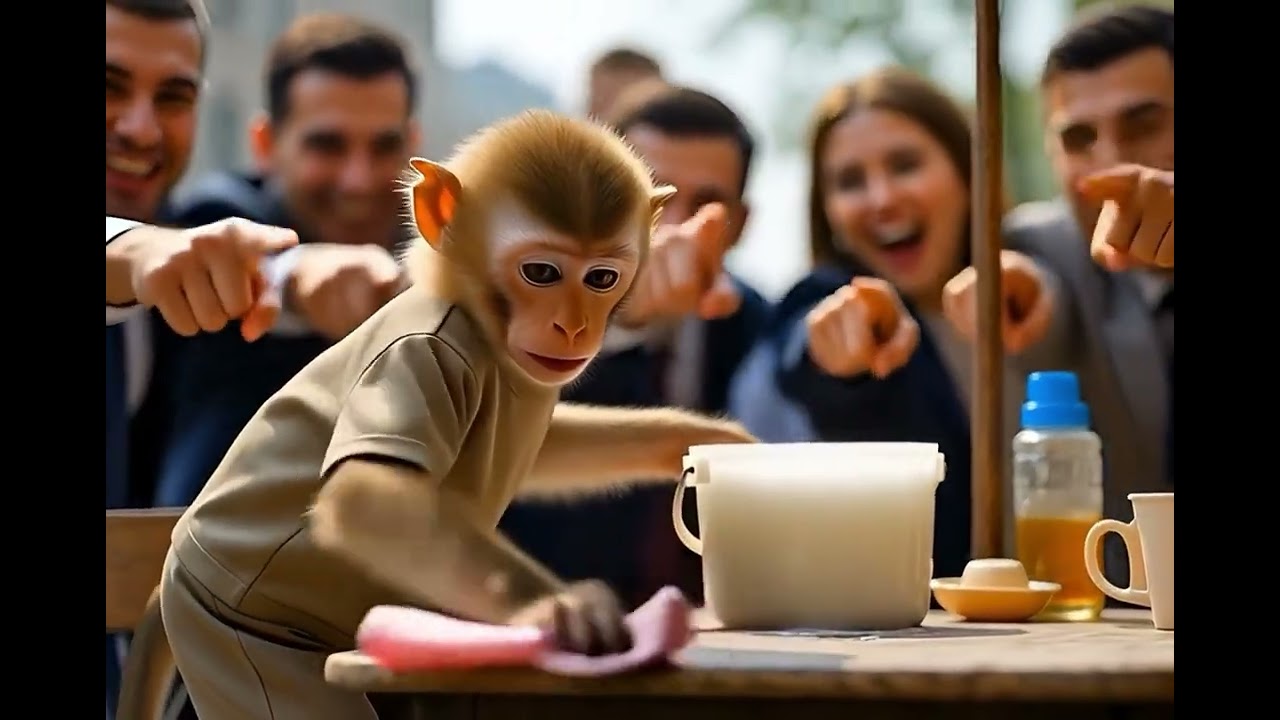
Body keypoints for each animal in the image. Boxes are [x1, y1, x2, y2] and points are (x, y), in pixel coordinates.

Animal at [157, 109, 757, 720]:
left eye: (601, 279)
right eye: (541, 273)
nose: (573, 326)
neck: (478, 326)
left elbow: (552, 448)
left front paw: (697, 437)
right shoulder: (420, 354)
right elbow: (362, 496)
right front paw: (559, 610)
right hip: (226, 628)